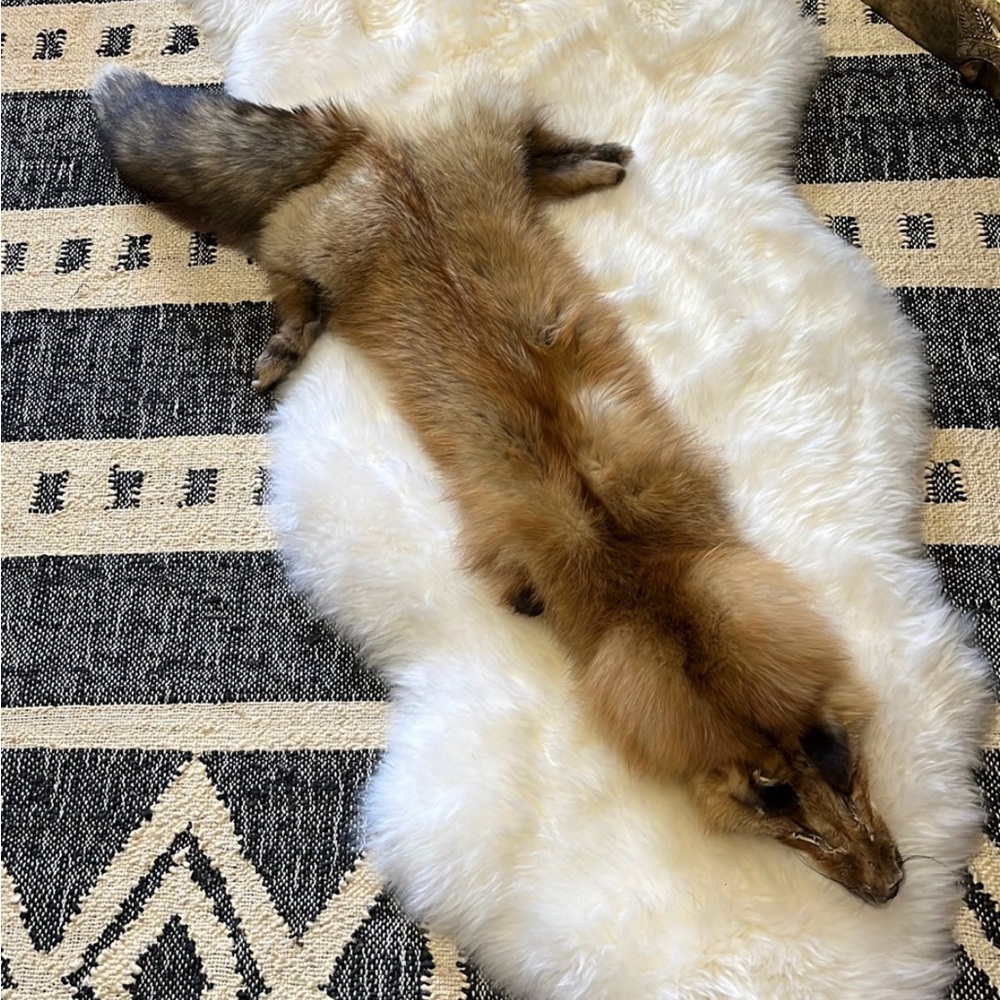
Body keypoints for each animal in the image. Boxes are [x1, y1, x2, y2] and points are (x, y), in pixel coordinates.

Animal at [91, 67, 903, 905]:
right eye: (772, 802)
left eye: (837, 759)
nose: (887, 885)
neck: (625, 556)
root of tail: (371, 148)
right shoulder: (509, 548)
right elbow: (511, 583)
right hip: (314, 248)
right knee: (290, 283)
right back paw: (289, 341)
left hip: (478, 153)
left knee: (531, 147)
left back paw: (592, 164)